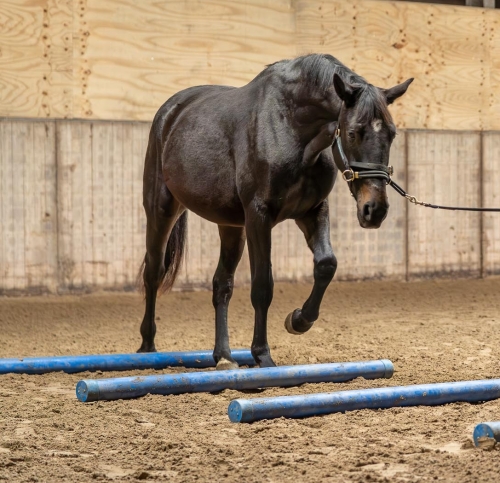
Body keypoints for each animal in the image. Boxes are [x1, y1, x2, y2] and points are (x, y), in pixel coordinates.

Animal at [139, 54, 412, 370]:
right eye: (353, 132)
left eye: (392, 134)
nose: (374, 210)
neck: (291, 129)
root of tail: (170, 110)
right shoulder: (259, 217)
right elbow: (262, 285)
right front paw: (262, 354)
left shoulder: (312, 211)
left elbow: (326, 265)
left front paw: (299, 320)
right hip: (161, 210)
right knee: (154, 272)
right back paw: (147, 347)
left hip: (231, 226)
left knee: (222, 284)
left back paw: (224, 356)